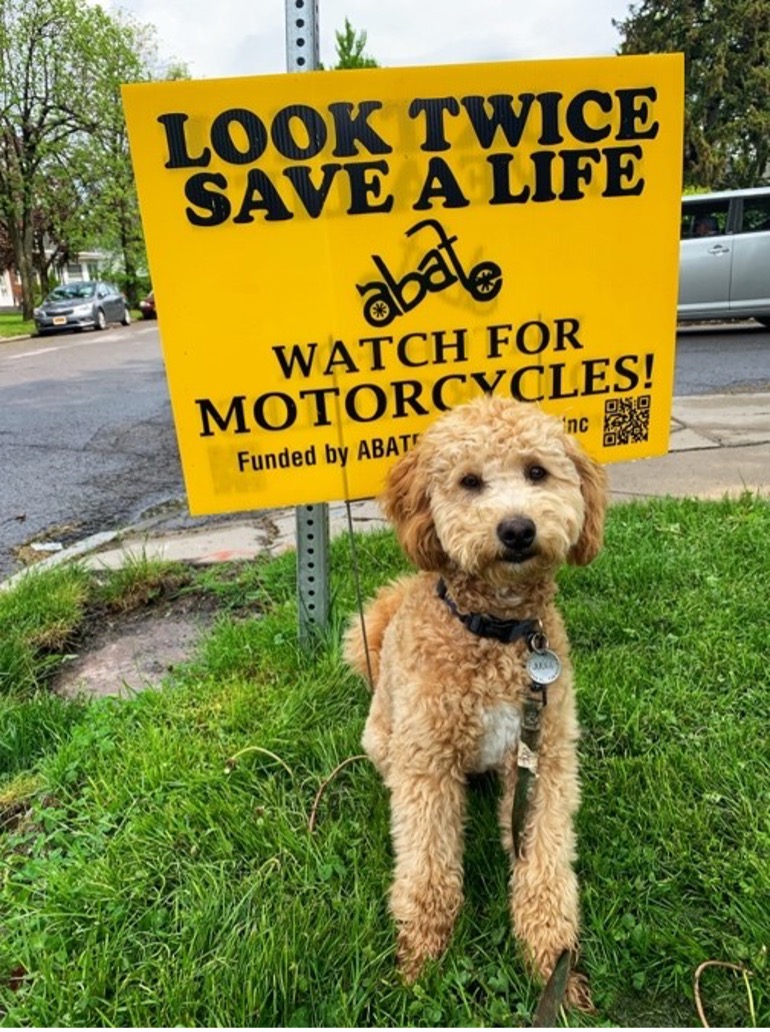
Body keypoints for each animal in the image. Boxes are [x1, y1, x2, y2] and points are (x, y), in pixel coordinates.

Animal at [342, 392, 606, 1007]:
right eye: (468, 481)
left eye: (536, 472)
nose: (517, 529)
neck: (496, 633)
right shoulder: (428, 764)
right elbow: (428, 867)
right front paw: (420, 958)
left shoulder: (544, 760)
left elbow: (546, 866)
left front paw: (554, 963)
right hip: (384, 739)